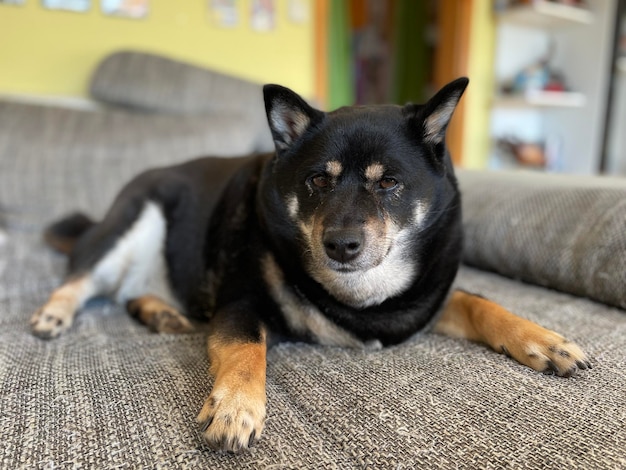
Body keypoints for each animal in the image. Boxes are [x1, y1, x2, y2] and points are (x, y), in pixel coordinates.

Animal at [31, 77, 588, 452]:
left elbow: (478, 302)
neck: (363, 295)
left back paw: (161, 313)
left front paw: (544, 340)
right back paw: (54, 314)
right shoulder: (241, 302)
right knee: (82, 278)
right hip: (131, 220)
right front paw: (235, 407)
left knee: (129, 293)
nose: (341, 245)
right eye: (319, 180)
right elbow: (245, 348)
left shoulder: (422, 299)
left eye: (389, 183)